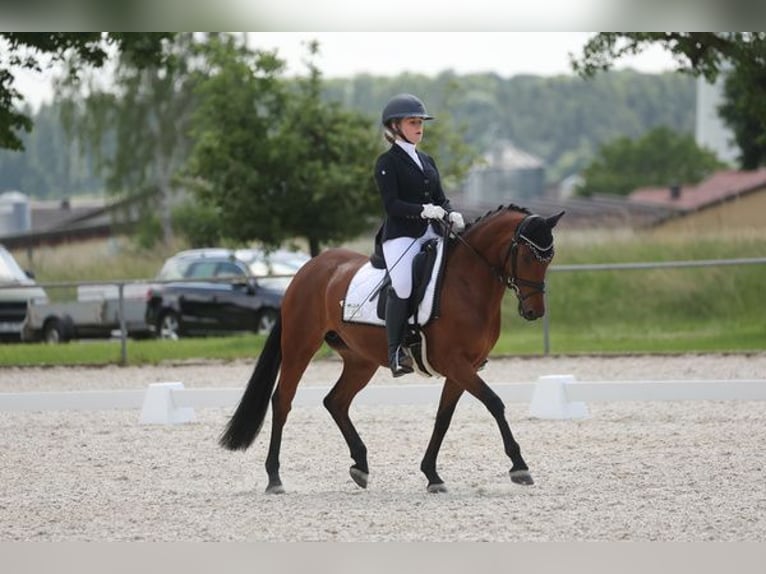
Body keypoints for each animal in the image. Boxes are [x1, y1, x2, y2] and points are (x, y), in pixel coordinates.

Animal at [219, 206, 568, 496]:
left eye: (549, 258)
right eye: (528, 257)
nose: (534, 312)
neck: (468, 284)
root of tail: (308, 268)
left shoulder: (464, 367)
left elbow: (443, 418)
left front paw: (432, 475)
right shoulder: (455, 363)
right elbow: (495, 403)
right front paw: (519, 467)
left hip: (360, 360)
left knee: (335, 401)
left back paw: (360, 467)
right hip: (299, 346)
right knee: (283, 401)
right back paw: (274, 478)